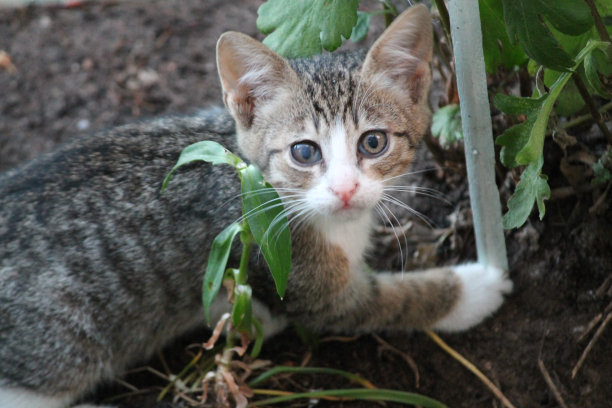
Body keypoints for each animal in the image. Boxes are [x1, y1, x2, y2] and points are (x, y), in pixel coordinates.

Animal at [0, 4, 512, 406]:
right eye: (304, 152)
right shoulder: (307, 286)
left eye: (373, 142)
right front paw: (477, 286)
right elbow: (392, 301)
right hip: (62, 351)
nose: (346, 189)